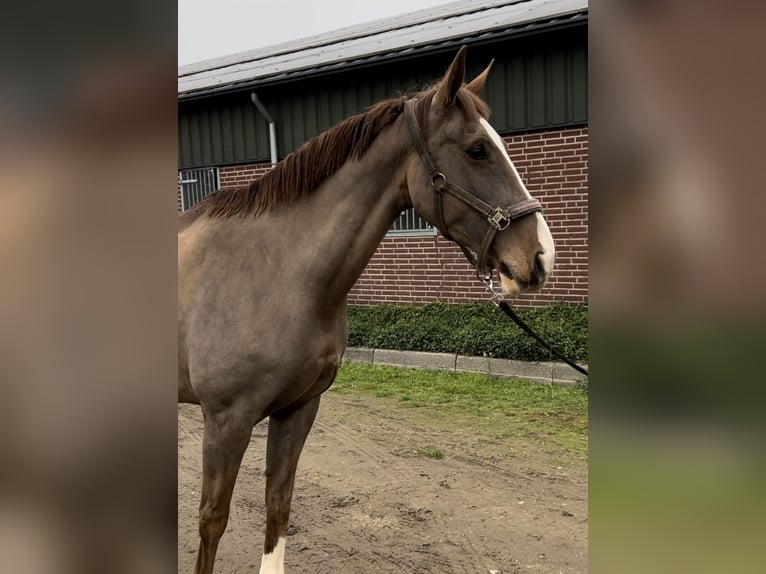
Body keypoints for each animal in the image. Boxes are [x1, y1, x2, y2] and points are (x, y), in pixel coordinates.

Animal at [178, 47, 556, 572]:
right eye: (477, 150)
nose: (541, 256)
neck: (274, 270)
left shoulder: (298, 409)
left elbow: (279, 503)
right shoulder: (225, 421)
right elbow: (212, 520)